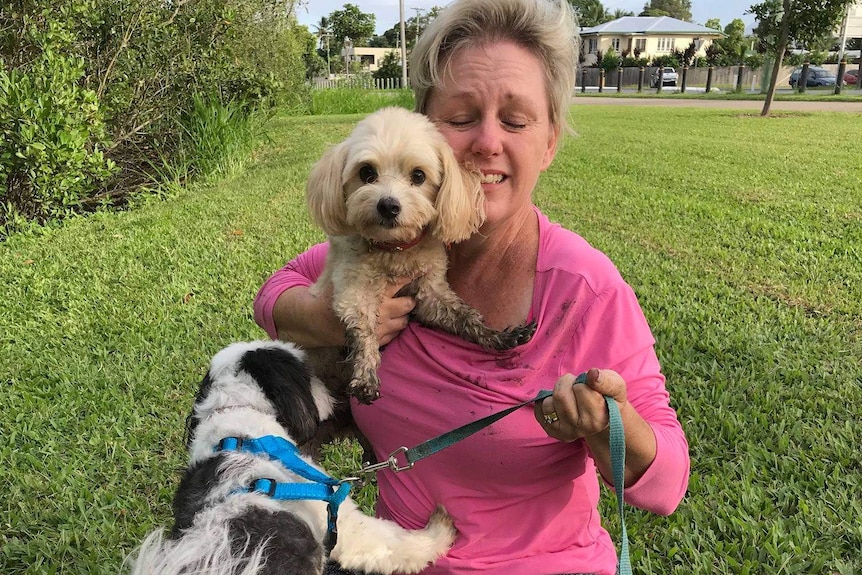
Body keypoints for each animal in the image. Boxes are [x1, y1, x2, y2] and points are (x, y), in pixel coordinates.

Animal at [130, 342, 460, 575]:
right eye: (307, 370)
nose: (330, 390)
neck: (242, 427)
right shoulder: (337, 519)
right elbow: (392, 542)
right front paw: (438, 532)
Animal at [304, 108, 532, 404]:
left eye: (419, 175)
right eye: (366, 173)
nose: (388, 206)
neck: (395, 251)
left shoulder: (430, 294)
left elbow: (466, 316)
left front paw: (497, 337)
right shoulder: (352, 291)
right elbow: (365, 329)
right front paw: (365, 374)